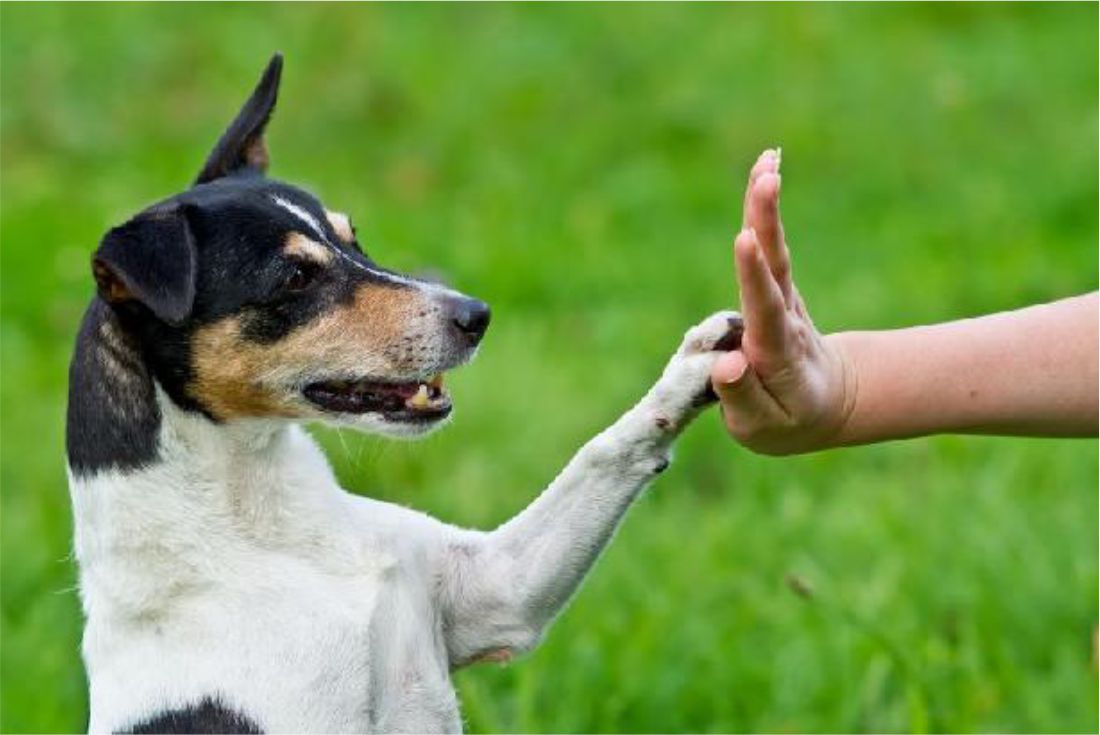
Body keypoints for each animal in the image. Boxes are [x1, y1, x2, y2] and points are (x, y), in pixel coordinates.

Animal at [66, 54, 739, 730]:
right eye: (295, 277)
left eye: (353, 238)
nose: (476, 314)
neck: (265, 529)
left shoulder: (497, 591)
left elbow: (603, 452)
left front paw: (695, 367)